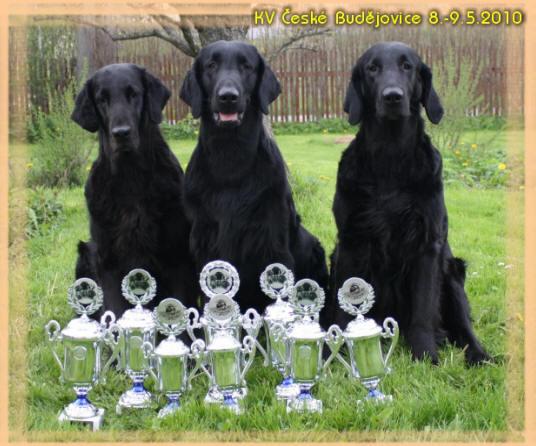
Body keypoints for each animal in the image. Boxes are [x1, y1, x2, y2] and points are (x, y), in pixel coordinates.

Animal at [72, 63, 198, 317]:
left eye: (134, 94)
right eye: (102, 99)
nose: (121, 133)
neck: (131, 176)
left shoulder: (177, 256)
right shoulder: (108, 260)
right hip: (85, 253)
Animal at [179, 40, 329, 315]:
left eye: (246, 66)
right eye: (211, 65)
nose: (228, 97)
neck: (230, 157)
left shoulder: (272, 241)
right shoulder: (204, 241)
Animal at [329, 42, 489, 365]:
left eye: (408, 67)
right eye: (372, 68)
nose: (392, 96)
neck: (390, 158)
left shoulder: (427, 245)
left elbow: (423, 311)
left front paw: (426, 355)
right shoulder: (350, 240)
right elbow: (343, 305)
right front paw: (339, 351)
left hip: (452, 271)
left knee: (463, 326)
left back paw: (479, 354)